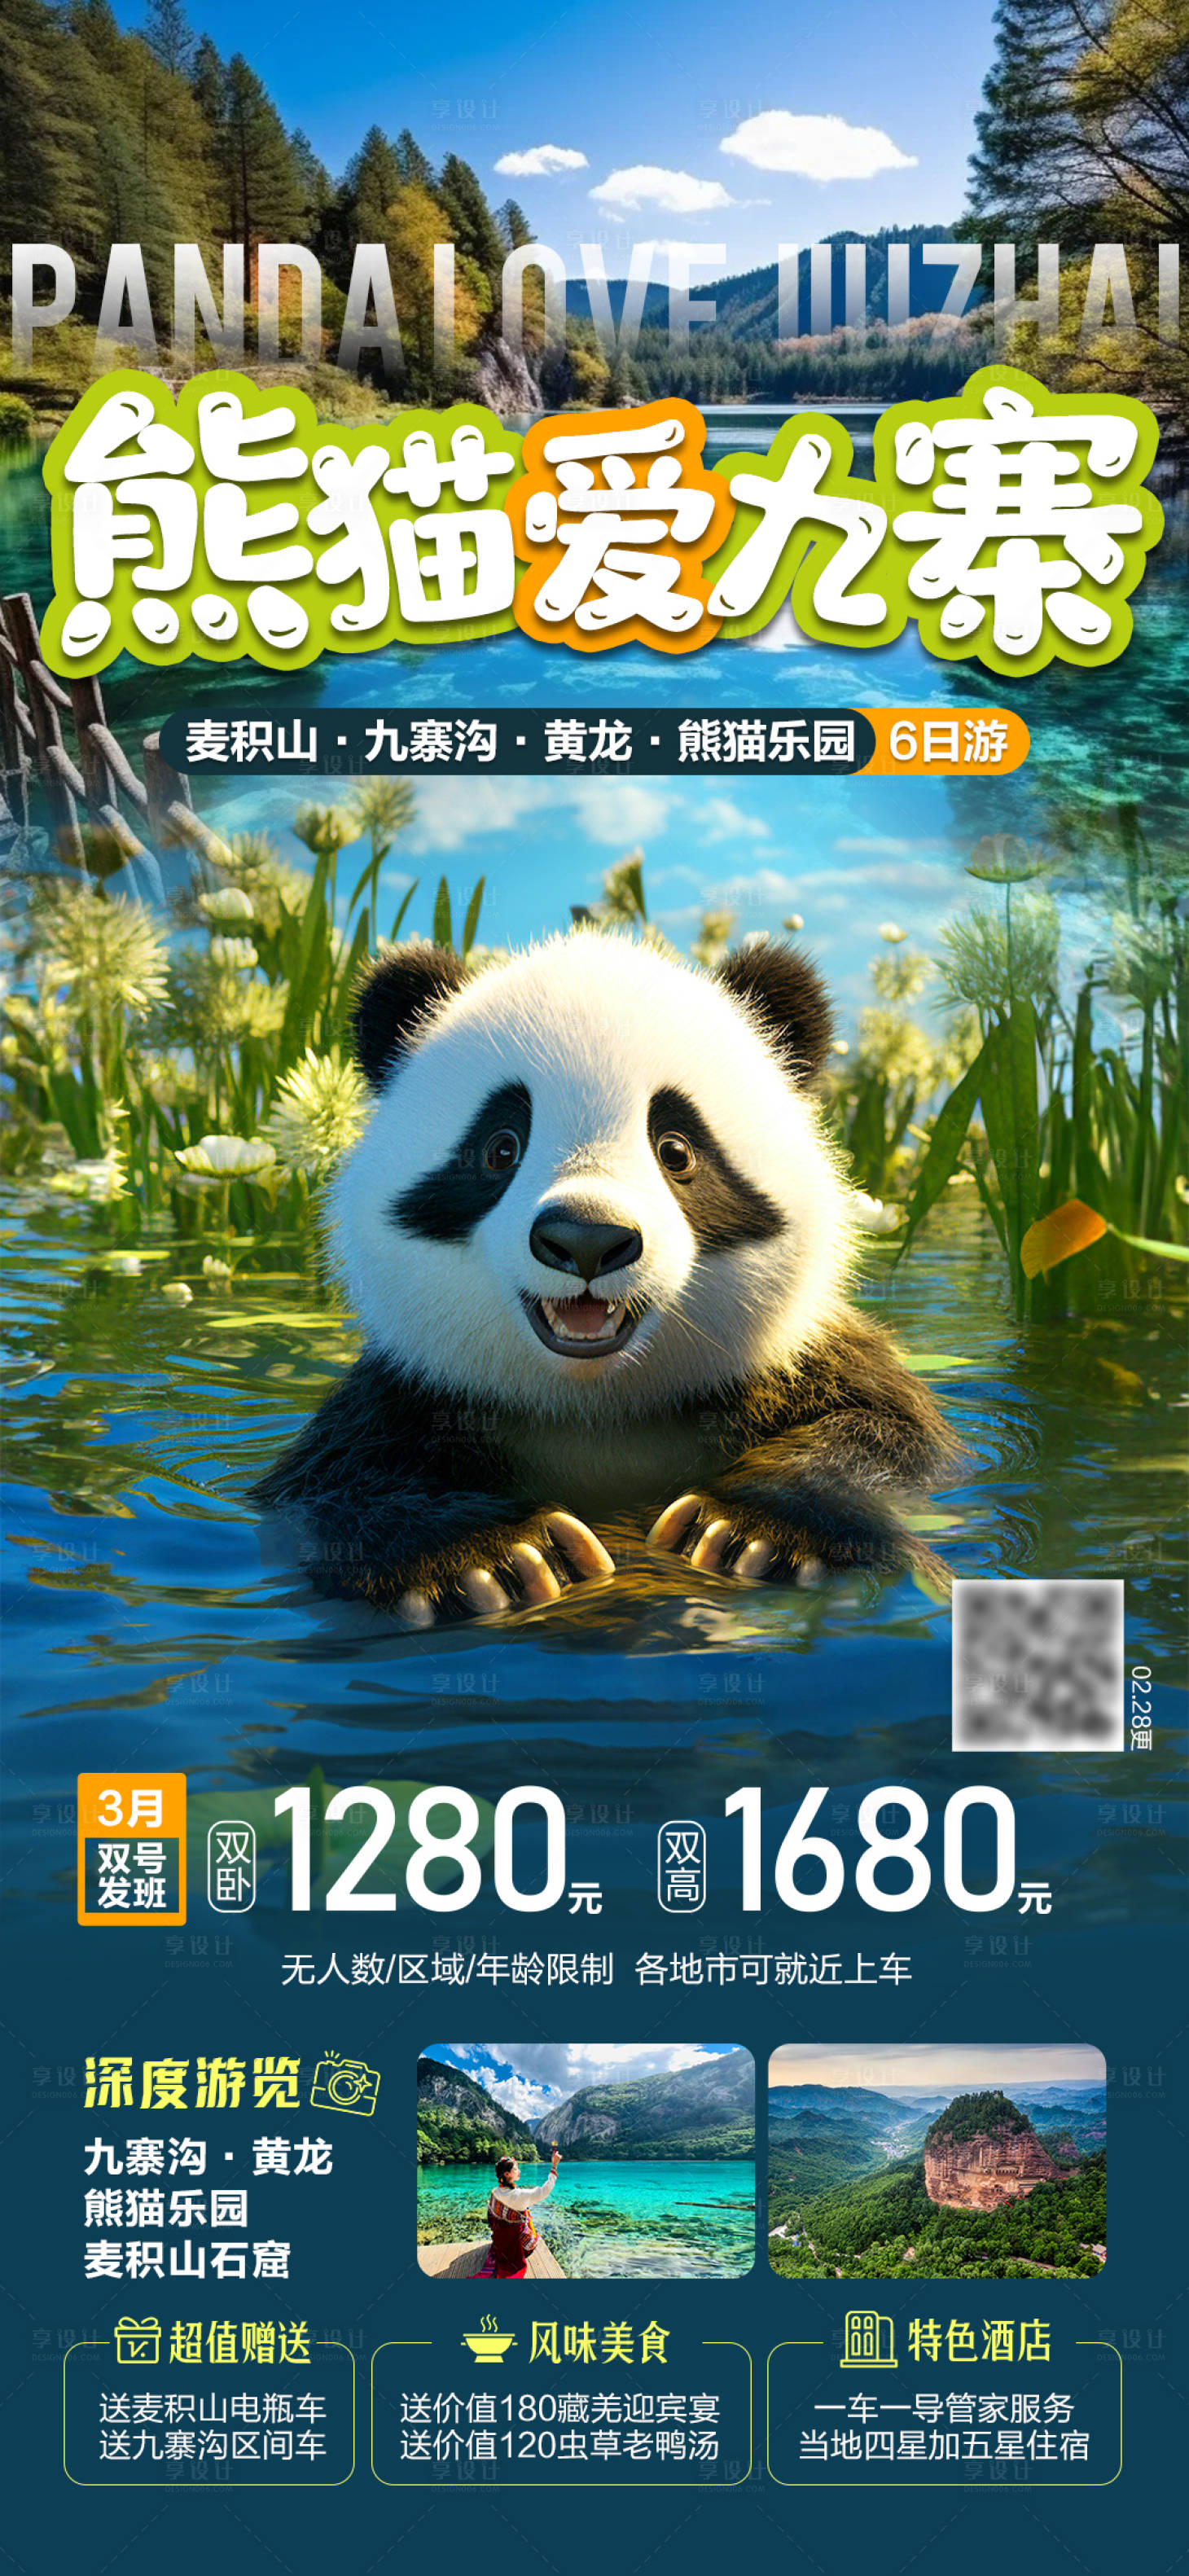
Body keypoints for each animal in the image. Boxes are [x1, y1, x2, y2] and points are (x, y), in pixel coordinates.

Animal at [253, 927, 958, 1624]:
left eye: (676, 1149)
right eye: (501, 1147)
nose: (586, 1238)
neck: (599, 1408)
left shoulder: (804, 1362)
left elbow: (887, 1439)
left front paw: (747, 1529)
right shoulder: (404, 1395)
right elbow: (339, 1489)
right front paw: (491, 1558)